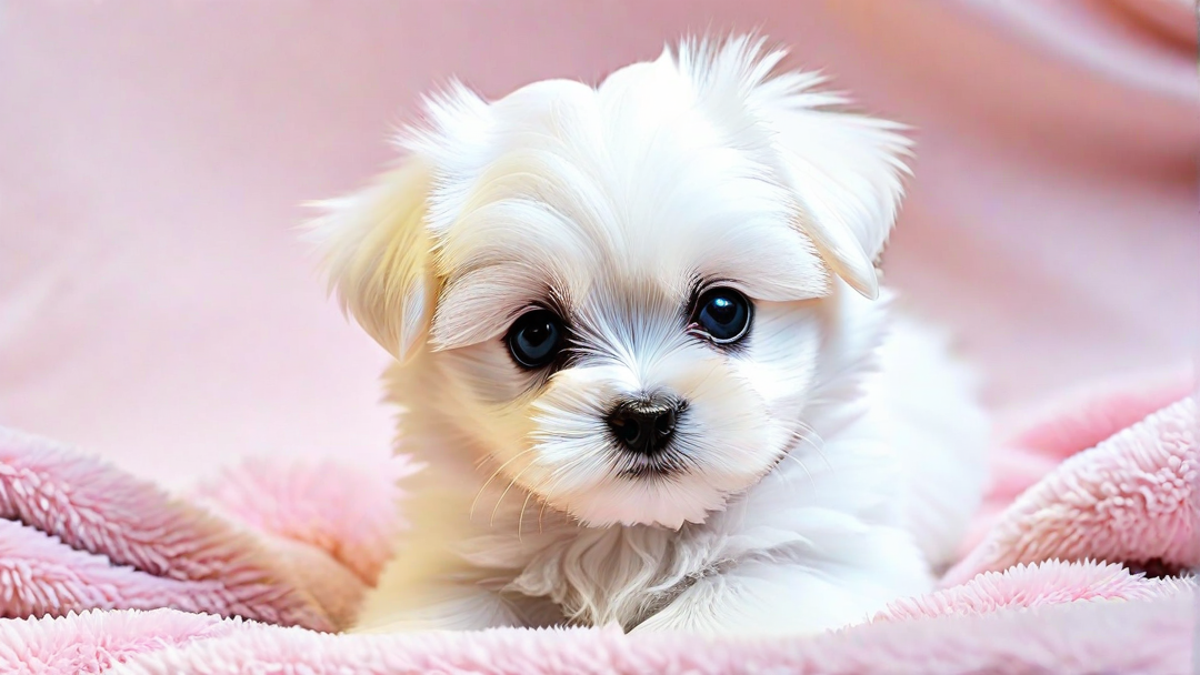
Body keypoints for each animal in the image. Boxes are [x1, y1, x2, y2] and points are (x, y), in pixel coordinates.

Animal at [307, 35, 984, 634]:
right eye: (534, 336)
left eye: (724, 310)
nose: (645, 417)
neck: (634, 537)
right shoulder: (445, 566)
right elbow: (431, 623)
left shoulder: (826, 555)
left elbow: (714, 611)